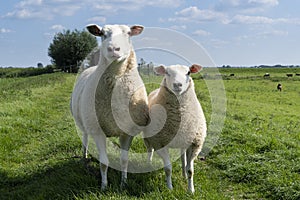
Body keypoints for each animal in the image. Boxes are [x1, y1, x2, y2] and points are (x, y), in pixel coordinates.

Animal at [71, 24, 149, 190]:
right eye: (102, 34)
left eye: (128, 33)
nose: (114, 49)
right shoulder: (97, 130)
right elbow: (103, 163)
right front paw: (104, 186)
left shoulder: (127, 131)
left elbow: (124, 160)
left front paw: (123, 183)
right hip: (84, 122)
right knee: (85, 138)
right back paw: (84, 156)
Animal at [144, 64, 206, 194]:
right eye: (167, 73)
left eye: (188, 72)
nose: (177, 85)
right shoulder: (160, 143)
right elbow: (168, 169)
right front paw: (169, 188)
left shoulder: (195, 144)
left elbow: (190, 170)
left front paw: (191, 190)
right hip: (147, 138)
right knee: (149, 150)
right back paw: (148, 164)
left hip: (184, 141)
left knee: (183, 158)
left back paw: (183, 174)